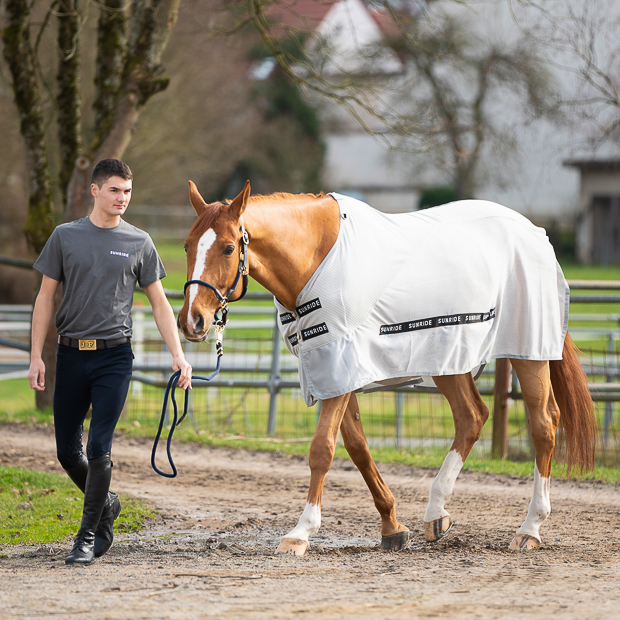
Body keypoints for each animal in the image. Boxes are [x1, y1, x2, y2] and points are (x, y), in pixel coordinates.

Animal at [178, 182, 596, 556]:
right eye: (186, 246)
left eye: (228, 247)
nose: (191, 321)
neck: (316, 257)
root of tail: (534, 233)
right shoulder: (333, 370)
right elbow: (358, 448)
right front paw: (392, 527)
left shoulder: (340, 363)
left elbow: (322, 449)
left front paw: (300, 533)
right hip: (448, 357)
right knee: (472, 416)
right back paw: (436, 513)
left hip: (528, 350)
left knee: (543, 423)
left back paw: (530, 529)